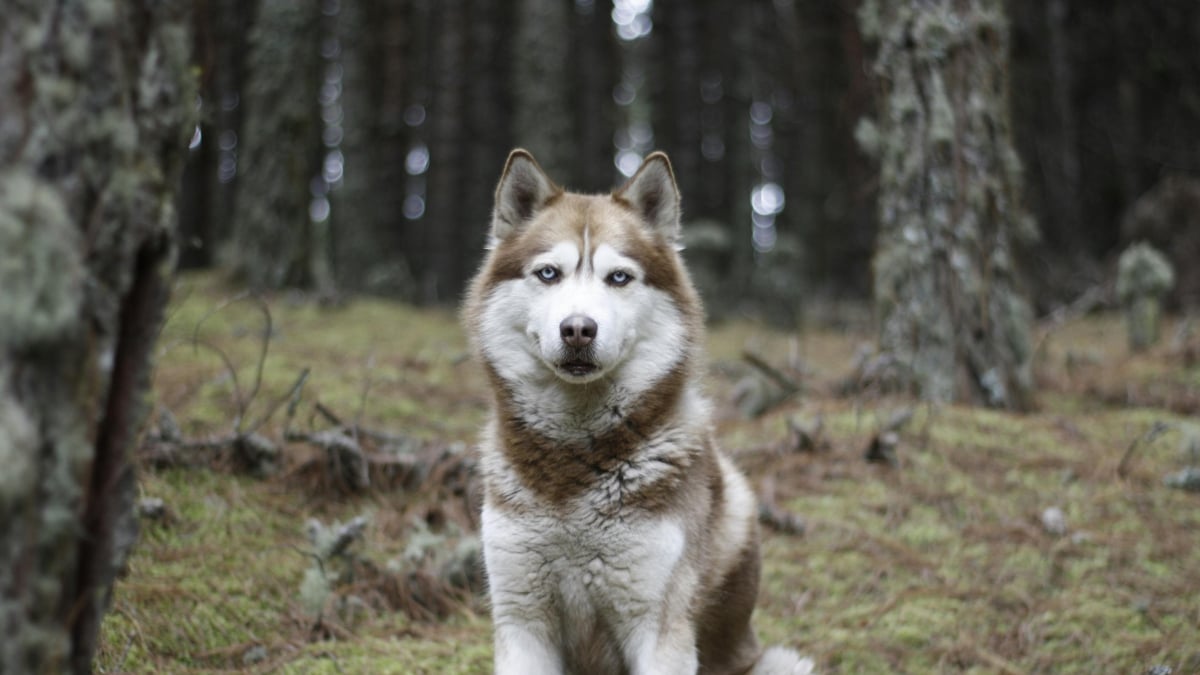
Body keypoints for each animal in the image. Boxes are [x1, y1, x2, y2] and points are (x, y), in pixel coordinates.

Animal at [463, 148, 811, 672]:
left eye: (619, 277)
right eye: (549, 273)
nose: (578, 329)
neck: (573, 462)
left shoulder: (660, 629)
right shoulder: (521, 621)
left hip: (778, 661)